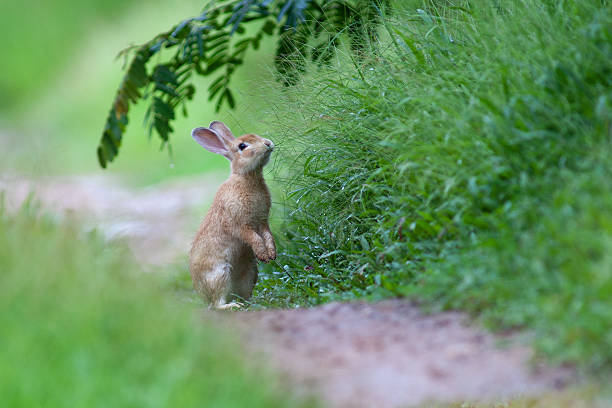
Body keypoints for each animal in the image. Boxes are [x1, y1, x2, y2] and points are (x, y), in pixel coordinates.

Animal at [189, 121, 278, 310]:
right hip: (220, 274)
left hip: (250, 273)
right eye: (242, 146)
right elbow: (253, 238)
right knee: (217, 303)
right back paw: (233, 306)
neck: (247, 178)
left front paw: (272, 254)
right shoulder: (239, 224)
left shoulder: (262, 222)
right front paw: (264, 254)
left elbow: (267, 236)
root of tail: (202, 295)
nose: (267, 143)